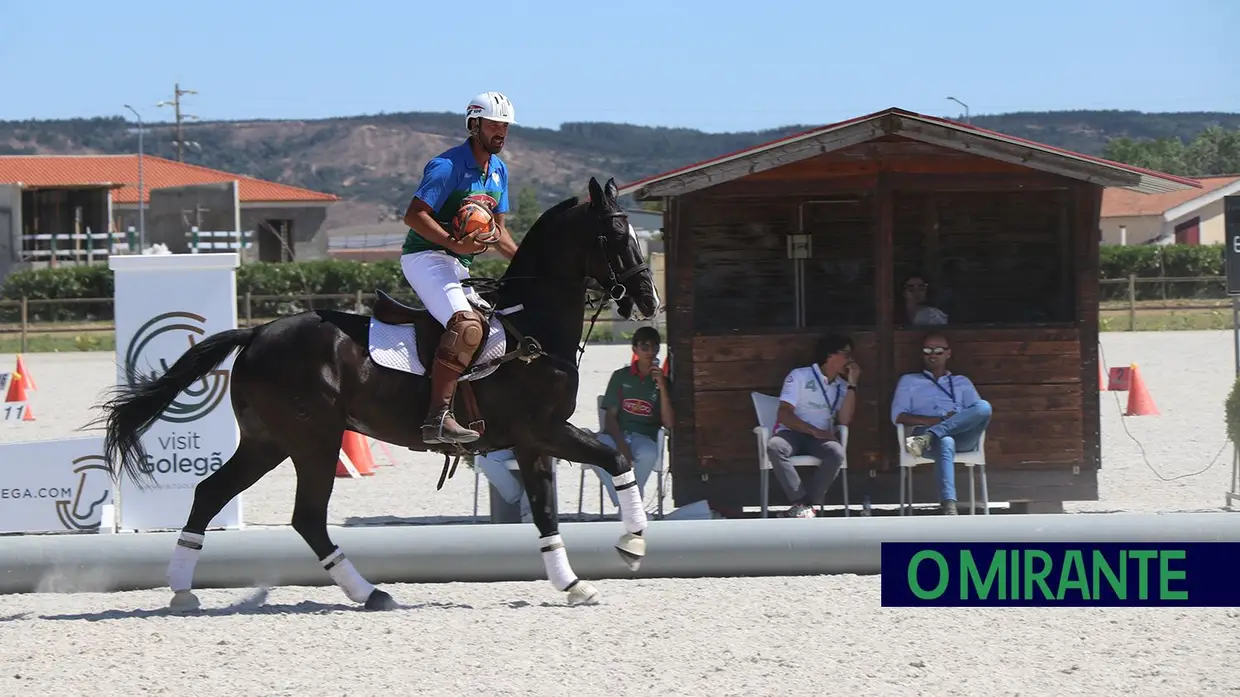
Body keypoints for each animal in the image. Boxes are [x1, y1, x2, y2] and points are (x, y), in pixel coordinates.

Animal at [95, 177, 664, 607]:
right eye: (617, 234)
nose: (648, 301)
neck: (534, 327)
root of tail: (256, 333)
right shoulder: (543, 431)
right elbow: (615, 459)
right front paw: (632, 543)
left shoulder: (534, 443)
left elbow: (548, 511)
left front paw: (574, 583)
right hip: (313, 440)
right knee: (306, 517)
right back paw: (368, 592)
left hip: (268, 442)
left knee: (212, 493)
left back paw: (181, 589)